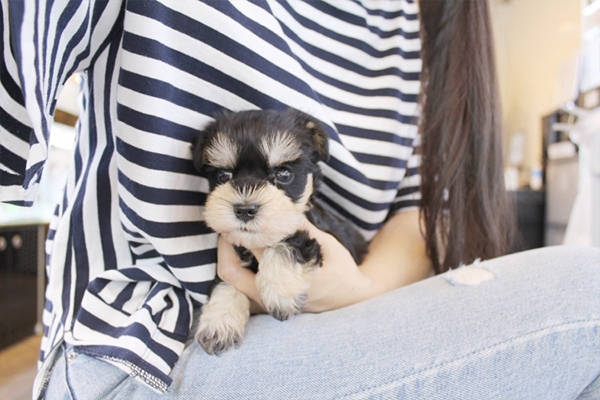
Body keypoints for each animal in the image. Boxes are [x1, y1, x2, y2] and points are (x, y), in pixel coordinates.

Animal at [195, 108, 368, 354]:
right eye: (223, 175)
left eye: (284, 175)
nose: (245, 209)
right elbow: (225, 281)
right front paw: (219, 320)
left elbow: (287, 242)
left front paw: (279, 295)